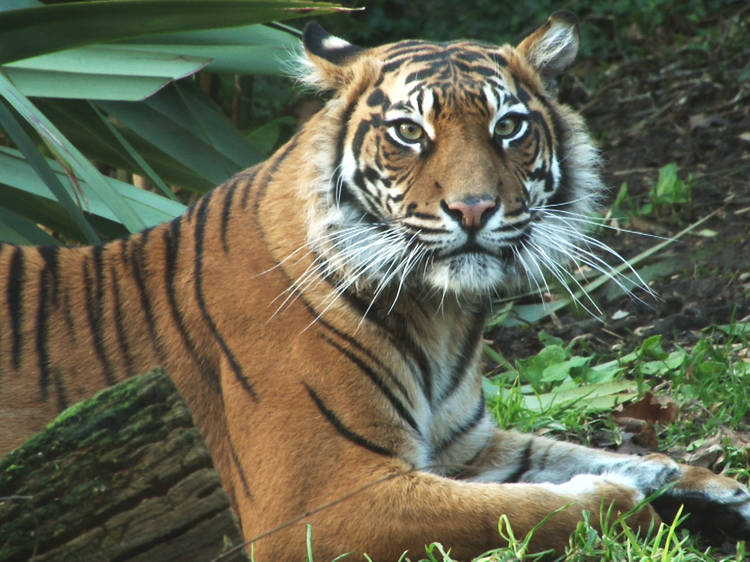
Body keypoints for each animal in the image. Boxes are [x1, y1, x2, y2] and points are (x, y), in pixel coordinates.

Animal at [1, 10, 750, 556]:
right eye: (408, 132)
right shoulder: (321, 502)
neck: (443, 315)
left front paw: (708, 490)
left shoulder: (464, 447)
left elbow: (589, 457)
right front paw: (635, 505)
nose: (474, 209)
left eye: (509, 127)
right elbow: (535, 509)